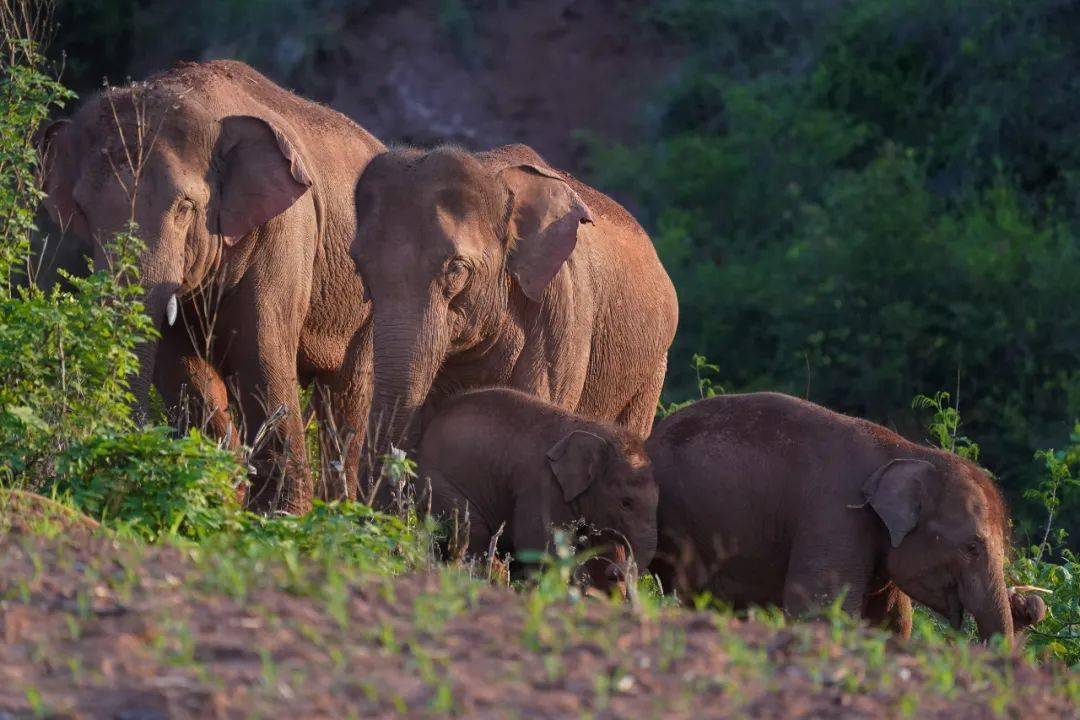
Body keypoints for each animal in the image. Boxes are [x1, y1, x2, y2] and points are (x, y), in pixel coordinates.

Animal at [39, 60, 386, 511]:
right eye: (83, 210)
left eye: (185, 207)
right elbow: (181, 369)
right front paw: (221, 494)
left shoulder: (285, 232)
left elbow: (262, 356)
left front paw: (281, 514)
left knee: (348, 395)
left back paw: (340, 510)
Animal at [416, 390, 660, 595]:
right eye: (625, 503)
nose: (616, 572)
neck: (594, 430)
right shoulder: (541, 486)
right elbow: (538, 544)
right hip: (439, 484)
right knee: (473, 532)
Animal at [648, 395, 1045, 643]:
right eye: (971, 547)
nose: (1027, 605)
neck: (907, 451)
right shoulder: (835, 515)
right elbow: (817, 611)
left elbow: (891, 622)